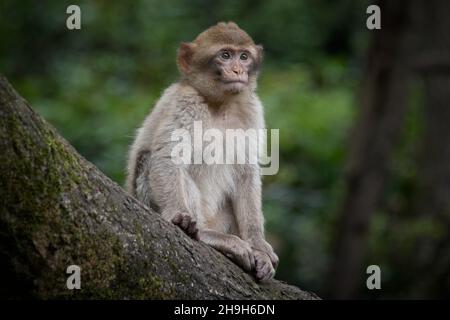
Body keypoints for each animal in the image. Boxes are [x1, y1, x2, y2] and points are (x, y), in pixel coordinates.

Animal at [125, 21, 276, 280]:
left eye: (243, 56)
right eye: (225, 55)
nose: (238, 70)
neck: (220, 105)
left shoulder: (252, 109)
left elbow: (247, 171)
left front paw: (258, 244)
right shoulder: (185, 102)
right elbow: (167, 156)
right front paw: (178, 216)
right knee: (148, 161)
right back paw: (207, 236)